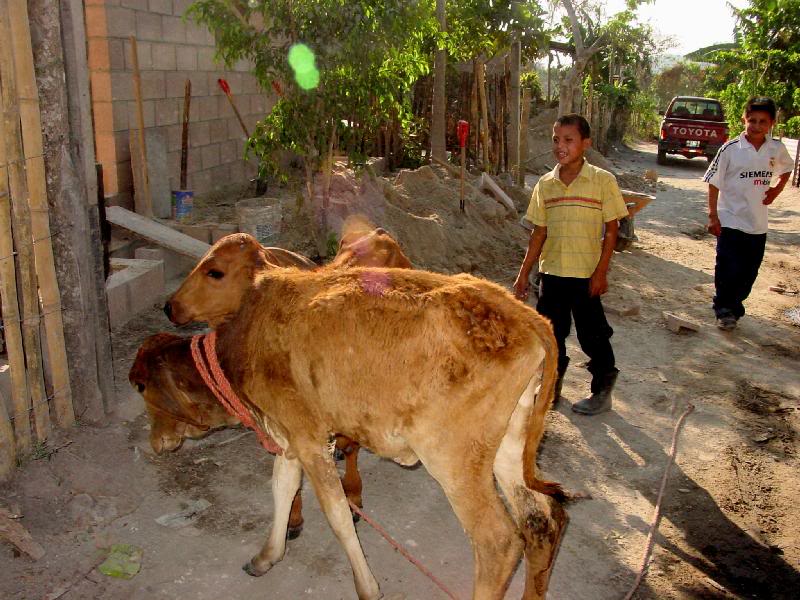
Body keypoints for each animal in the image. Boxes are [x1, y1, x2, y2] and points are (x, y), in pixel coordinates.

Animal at [179, 265, 566, 600]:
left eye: (213, 273)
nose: (172, 307)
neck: (251, 325)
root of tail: (523, 314)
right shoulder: (290, 435)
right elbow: (283, 486)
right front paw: (267, 556)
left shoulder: (306, 436)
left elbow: (336, 513)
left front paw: (366, 587)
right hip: (509, 445)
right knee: (542, 519)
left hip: (452, 459)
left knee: (498, 542)